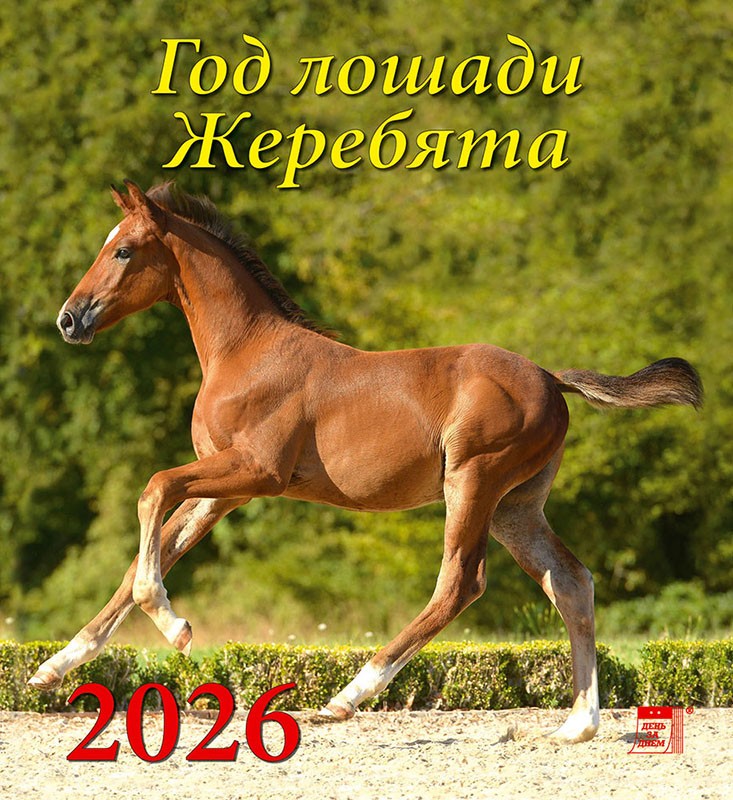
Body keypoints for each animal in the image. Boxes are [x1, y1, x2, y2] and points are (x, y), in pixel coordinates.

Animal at [29, 180, 702, 742]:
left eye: (123, 251)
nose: (69, 318)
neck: (246, 351)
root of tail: (551, 379)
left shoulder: (256, 471)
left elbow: (153, 489)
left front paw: (176, 627)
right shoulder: (225, 488)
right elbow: (152, 548)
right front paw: (55, 666)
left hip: (473, 482)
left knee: (462, 583)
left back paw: (349, 695)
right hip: (518, 506)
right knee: (571, 582)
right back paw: (577, 726)